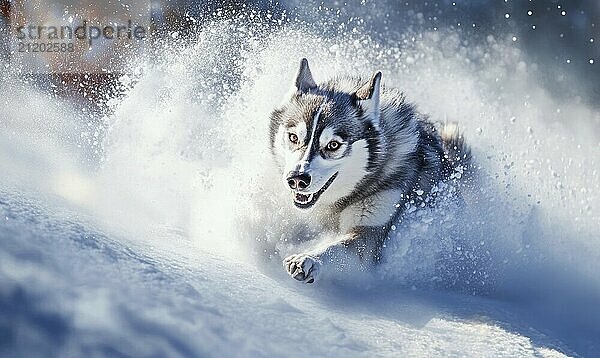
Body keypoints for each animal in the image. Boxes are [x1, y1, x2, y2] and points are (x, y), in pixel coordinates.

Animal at [270, 58, 472, 282]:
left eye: (333, 145)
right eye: (293, 137)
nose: (297, 179)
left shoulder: (367, 232)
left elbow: (335, 248)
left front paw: (310, 259)